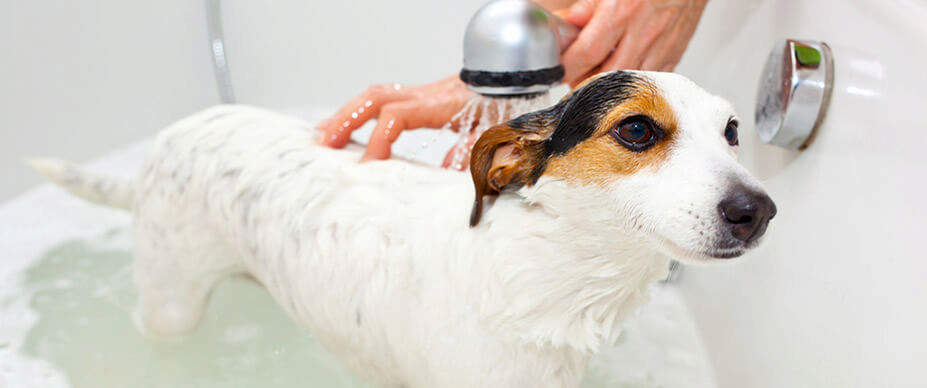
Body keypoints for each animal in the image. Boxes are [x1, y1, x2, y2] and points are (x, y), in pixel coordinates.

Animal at [30, 72, 776, 384]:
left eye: (732, 131)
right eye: (637, 130)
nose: (759, 210)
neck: (543, 276)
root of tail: (171, 136)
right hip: (171, 305)